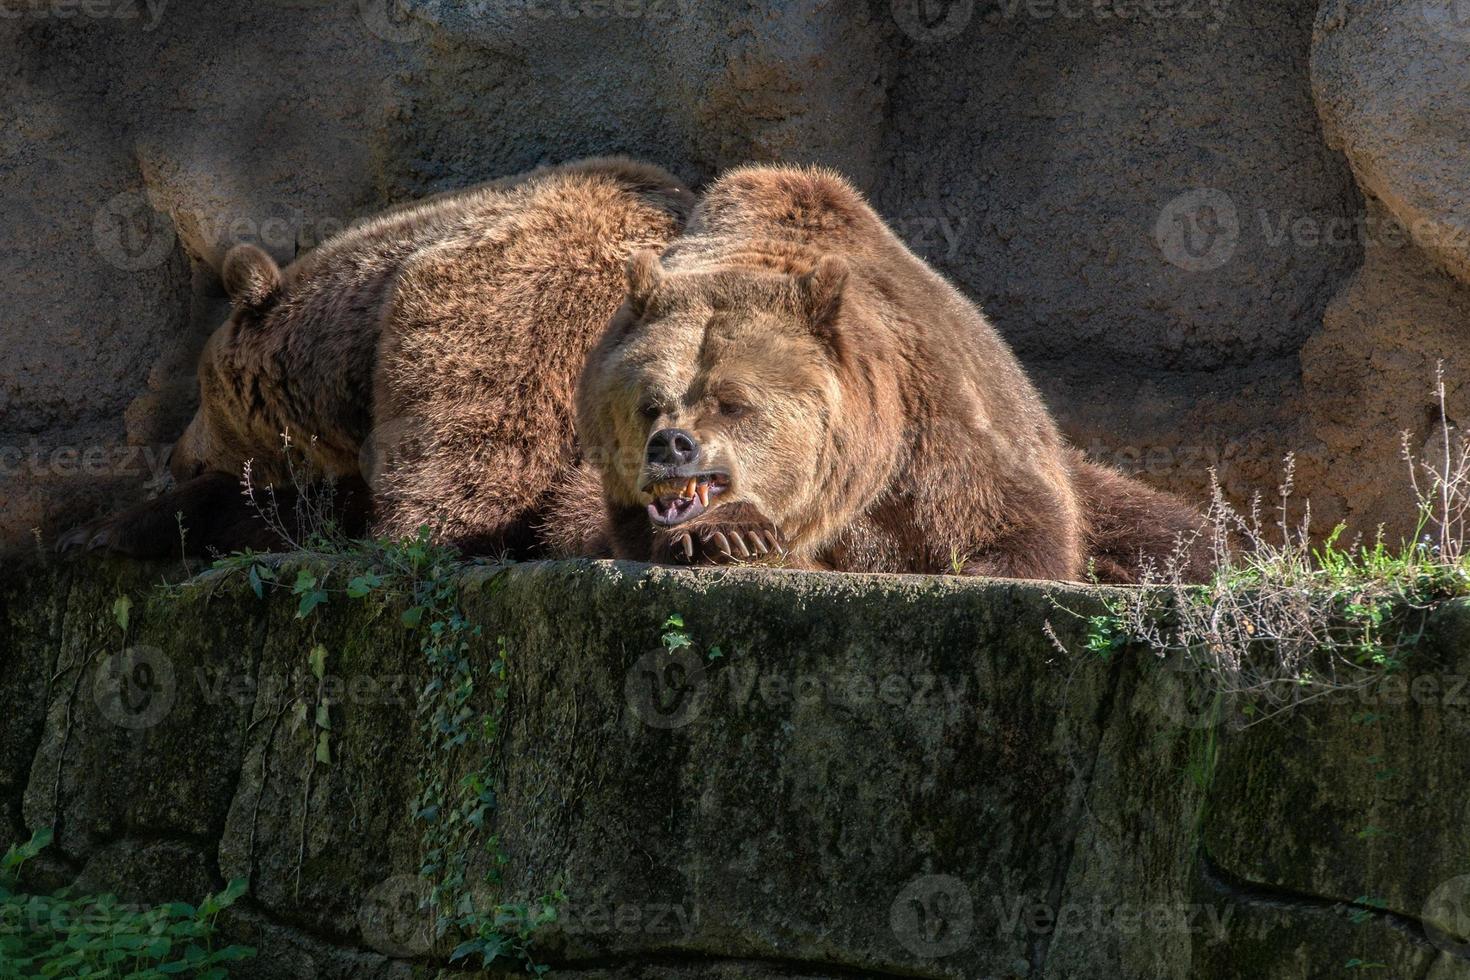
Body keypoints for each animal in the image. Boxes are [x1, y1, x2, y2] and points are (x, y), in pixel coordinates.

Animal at [573, 164, 1205, 581]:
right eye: (649, 403)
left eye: (733, 402)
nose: (672, 445)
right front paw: (728, 533)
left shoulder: (927, 437)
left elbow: (1014, 529)